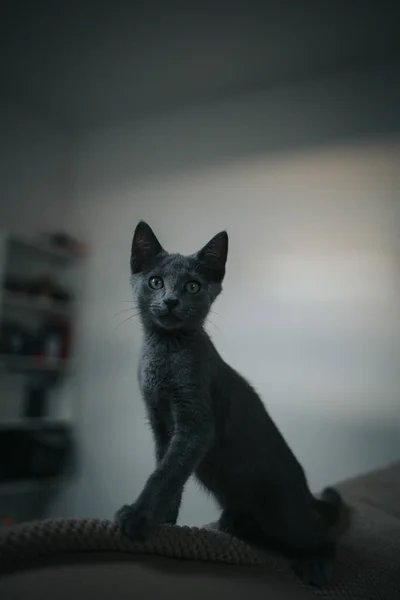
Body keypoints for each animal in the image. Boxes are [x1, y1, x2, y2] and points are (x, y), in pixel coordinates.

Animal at [115, 220, 344, 584]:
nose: (171, 300)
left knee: (320, 536)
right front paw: (163, 521)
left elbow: (164, 474)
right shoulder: (160, 424)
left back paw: (317, 565)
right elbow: (166, 467)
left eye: (192, 286)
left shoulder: (195, 424)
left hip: (284, 514)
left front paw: (138, 518)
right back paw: (236, 523)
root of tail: (305, 492)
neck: (165, 352)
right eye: (156, 281)